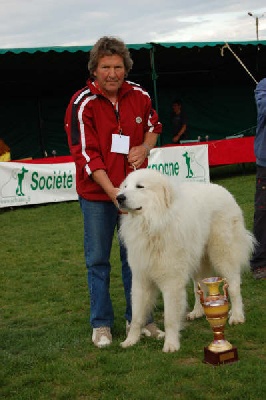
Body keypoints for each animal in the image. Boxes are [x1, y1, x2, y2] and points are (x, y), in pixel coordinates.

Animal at [117, 169, 255, 354]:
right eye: (125, 186)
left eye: (140, 186)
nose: (119, 197)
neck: (153, 224)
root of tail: (223, 190)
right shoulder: (140, 279)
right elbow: (137, 316)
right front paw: (130, 340)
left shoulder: (171, 282)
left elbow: (169, 318)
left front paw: (171, 344)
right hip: (199, 260)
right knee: (201, 286)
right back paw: (197, 311)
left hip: (223, 255)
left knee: (233, 286)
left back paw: (237, 316)